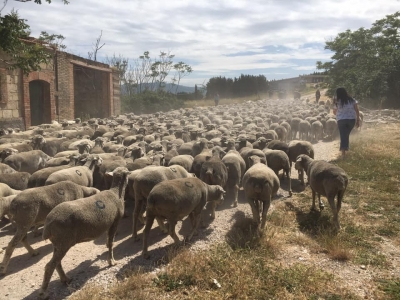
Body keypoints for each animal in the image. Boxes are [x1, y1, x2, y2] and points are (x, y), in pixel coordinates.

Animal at [37, 168, 129, 298]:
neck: (116, 192)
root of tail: (48, 224)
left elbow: (108, 242)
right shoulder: (115, 222)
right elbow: (111, 243)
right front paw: (111, 261)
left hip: (57, 243)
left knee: (57, 263)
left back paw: (65, 279)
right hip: (64, 241)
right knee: (50, 266)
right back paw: (43, 292)